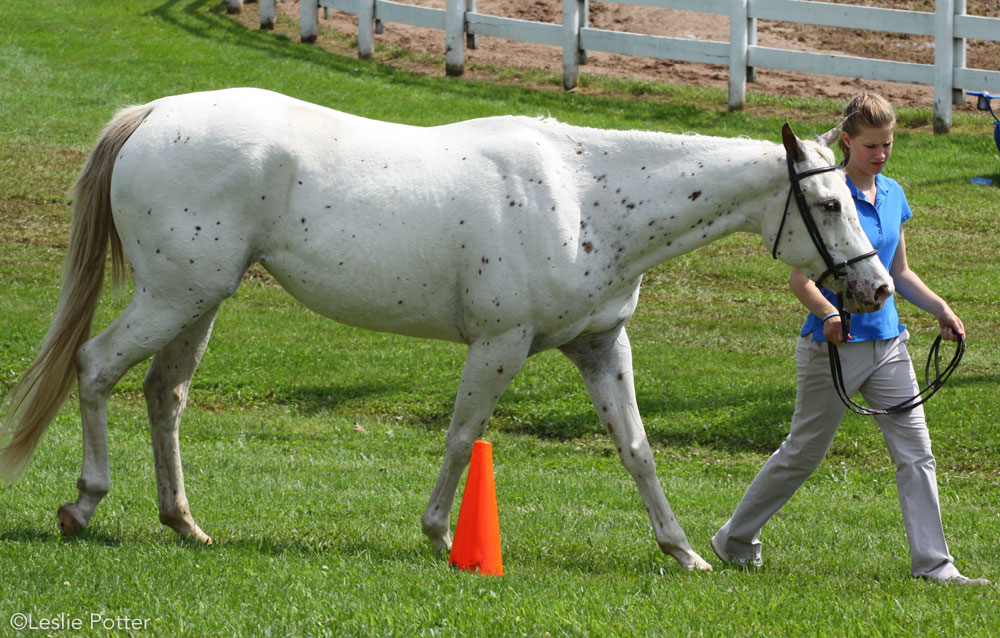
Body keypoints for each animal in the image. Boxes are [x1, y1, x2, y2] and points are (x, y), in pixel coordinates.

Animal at [0, 87, 892, 572]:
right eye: (827, 203)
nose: (875, 287)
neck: (583, 194)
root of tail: (150, 115)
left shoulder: (599, 346)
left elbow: (637, 449)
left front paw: (683, 551)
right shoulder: (501, 344)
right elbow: (464, 435)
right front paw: (438, 535)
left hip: (198, 301)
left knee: (165, 395)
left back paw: (184, 522)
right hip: (172, 296)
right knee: (94, 368)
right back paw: (83, 504)